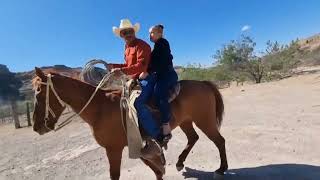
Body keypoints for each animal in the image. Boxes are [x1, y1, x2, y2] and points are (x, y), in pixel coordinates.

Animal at [31, 67, 228, 180]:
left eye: (39, 91)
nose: (36, 127)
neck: (99, 108)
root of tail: (203, 83)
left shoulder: (114, 149)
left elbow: (116, 175)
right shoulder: (137, 145)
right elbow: (156, 170)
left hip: (205, 121)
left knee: (219, 141)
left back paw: (221, 169)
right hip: (186, 121)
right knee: (193, 138)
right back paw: (180, 162)